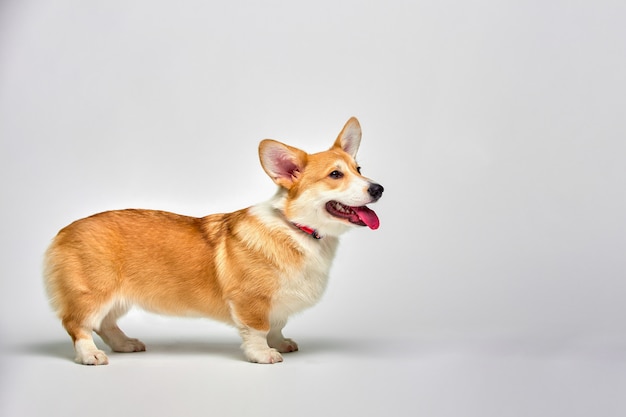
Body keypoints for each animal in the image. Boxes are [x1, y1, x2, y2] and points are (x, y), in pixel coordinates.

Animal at [44, 117, 380, 364]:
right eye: (335, 175)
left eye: (359, 169)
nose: (379, 189)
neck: (296, 228)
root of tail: (63, 231)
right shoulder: (250, 301)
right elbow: (258, 330)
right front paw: (264, 354)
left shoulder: (277, 305)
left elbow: (277, 324)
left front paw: (281, 343)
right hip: (94, 293)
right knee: (78, 325)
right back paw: (90, 355)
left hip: (117, 297)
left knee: (105, 323)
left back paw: (125, 344)